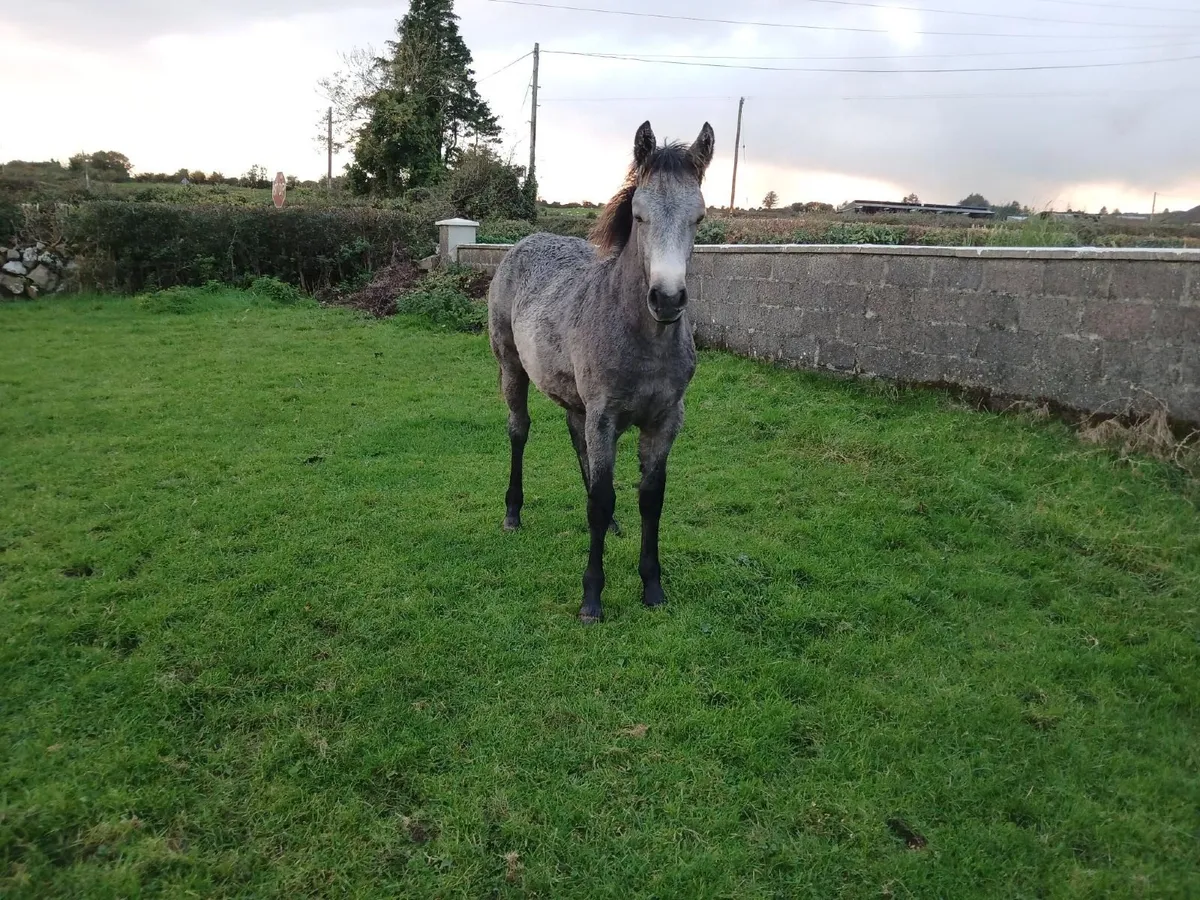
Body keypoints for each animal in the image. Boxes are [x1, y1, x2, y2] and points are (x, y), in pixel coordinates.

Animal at [487, 119, 715, 623]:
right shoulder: (604, 415)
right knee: (519, 429)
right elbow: (601, 496)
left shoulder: (666, 419)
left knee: (577, 442)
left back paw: (611, 525)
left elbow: (650, 497)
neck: (641, 339)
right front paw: (591, 598)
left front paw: (652, 587)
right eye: (639, 215)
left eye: (699, 217)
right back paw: (512, 513)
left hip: (576, 400)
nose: (667, 300)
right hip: (510, 367)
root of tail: (524, 243)